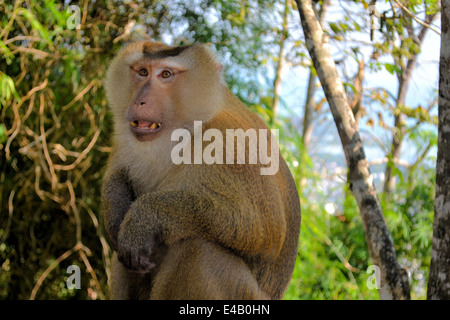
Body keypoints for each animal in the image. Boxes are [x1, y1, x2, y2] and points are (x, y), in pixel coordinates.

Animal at [101, 40, 298, 300]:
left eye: (166, 74)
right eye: (142, 71)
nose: (140, 101)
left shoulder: (232, 144)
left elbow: (265, 230)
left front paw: (146, 217)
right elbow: (118, 174)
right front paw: (116, 208)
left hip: (243, 294)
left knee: (198, 251)